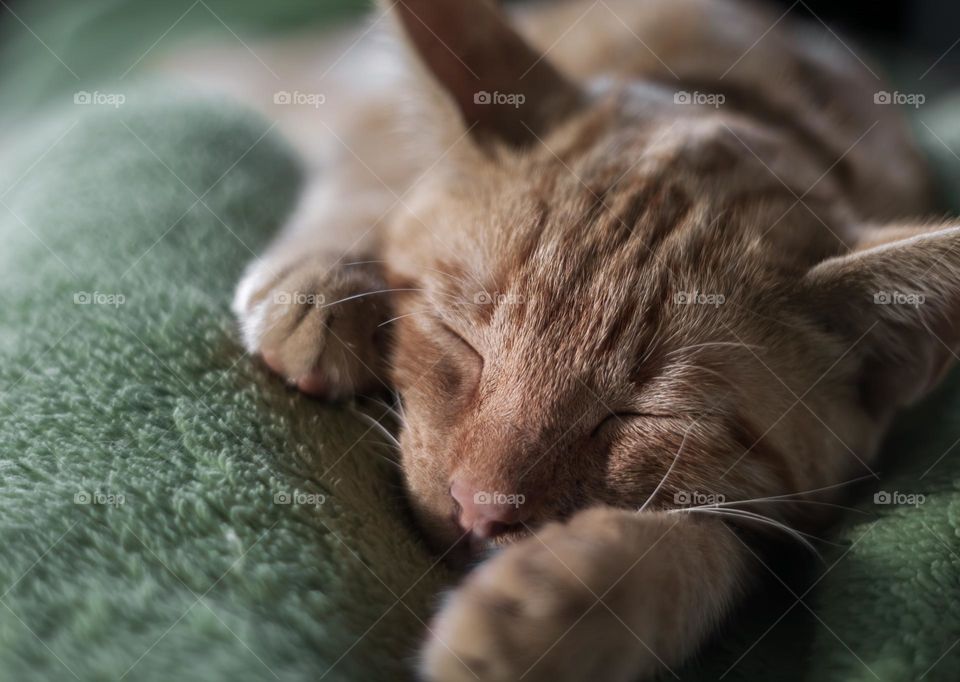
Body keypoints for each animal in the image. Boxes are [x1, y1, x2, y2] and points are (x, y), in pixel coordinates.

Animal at [223, 0, 952, 676]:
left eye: (647, 416)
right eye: (462, 339)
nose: (478, 511)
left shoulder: (776, 534)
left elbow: (701, 551)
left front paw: (559, 606)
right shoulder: (375, 109)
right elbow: (368, 168)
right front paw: (324, 278)